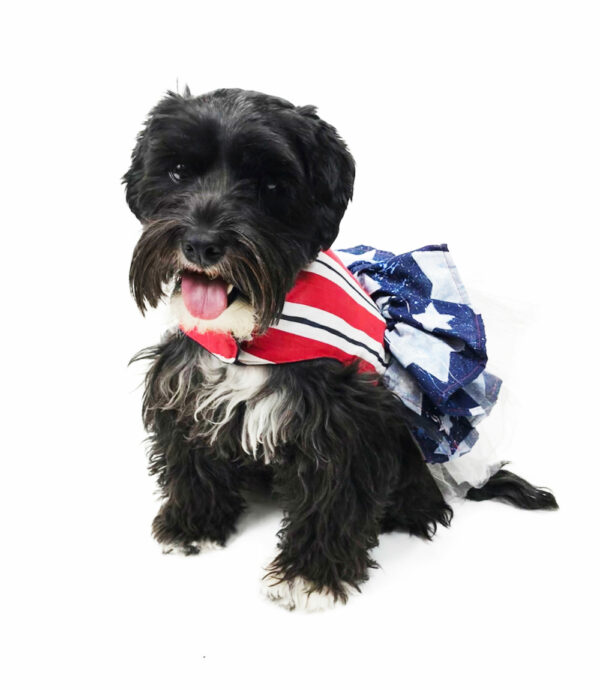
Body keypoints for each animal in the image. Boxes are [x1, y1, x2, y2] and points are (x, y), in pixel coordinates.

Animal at [123, 86, 556, 608]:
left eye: (271, 186)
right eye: (178, 171)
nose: (202, 244)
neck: (254, 334)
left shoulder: (342, 422)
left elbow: (332, 496)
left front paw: (307, 574)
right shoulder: (187, 383)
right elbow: (192, 456)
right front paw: (194, 525)